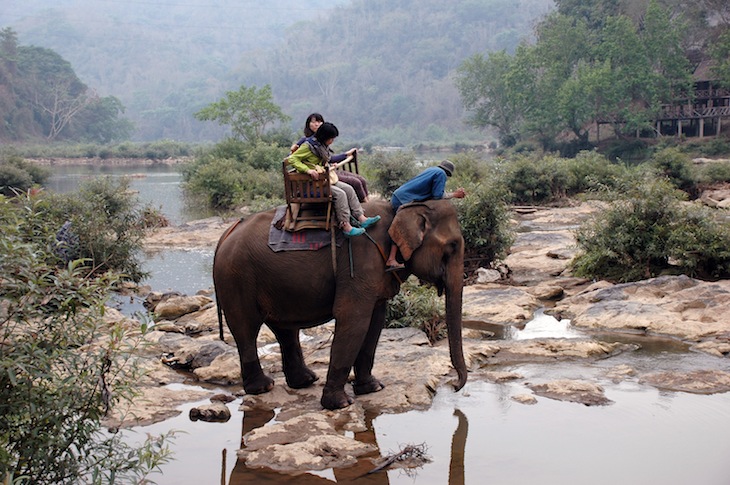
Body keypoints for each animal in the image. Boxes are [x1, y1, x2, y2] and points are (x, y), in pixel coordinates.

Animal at [212, 198, 466, 408]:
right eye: (452, 246)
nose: (453, 386)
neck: (401, 208)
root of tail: (225, 235)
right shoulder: (361, 264)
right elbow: (353, 319)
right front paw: (341, 404)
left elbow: (375, 322)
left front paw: (372, 388)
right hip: (235, 277)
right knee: (246, 328)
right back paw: (264, 387)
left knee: (285, 330)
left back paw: (304, 381)